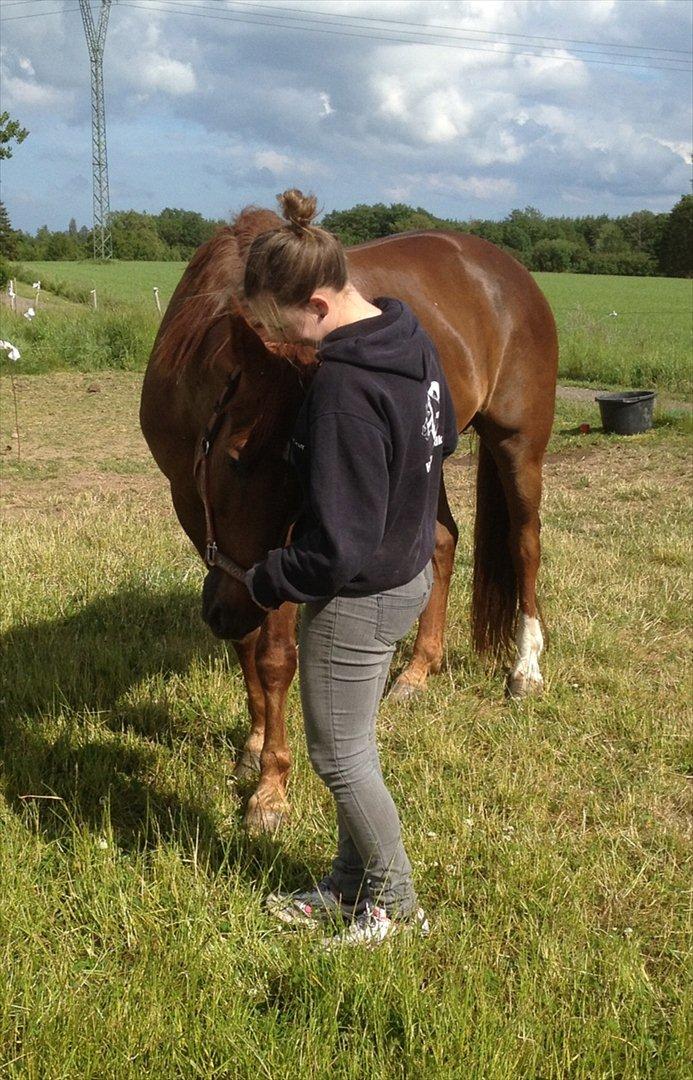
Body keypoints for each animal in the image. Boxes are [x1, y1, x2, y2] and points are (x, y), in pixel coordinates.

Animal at [140, 206, 556, 829]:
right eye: (234, 460)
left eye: (308, 476)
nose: (224, 610)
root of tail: (511, 272)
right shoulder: (197, 514)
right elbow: (246, 641)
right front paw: (253, 745)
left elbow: (275, 656)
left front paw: (270, 789)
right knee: (442, 541)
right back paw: (417, 671)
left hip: (518, 444)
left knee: (525, 546)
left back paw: (524, 670)